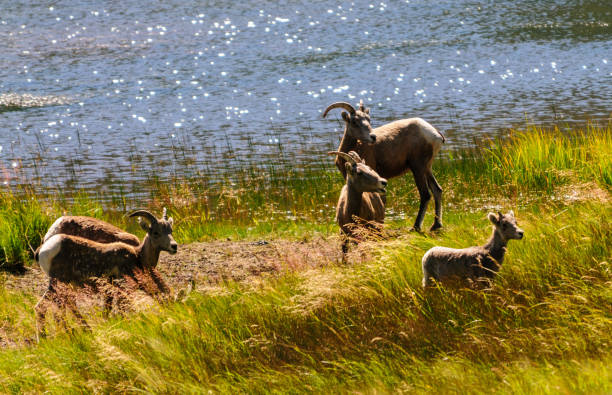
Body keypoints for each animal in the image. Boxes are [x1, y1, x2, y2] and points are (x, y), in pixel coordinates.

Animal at [326, 100, 444, 234]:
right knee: (437, 190)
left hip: (418, 167)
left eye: (368, 119)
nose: (373, 137)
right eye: (354, 122)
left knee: (425, 194)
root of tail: (435, 134)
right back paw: (436, 225)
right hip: (427, 168)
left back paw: (415, 227)